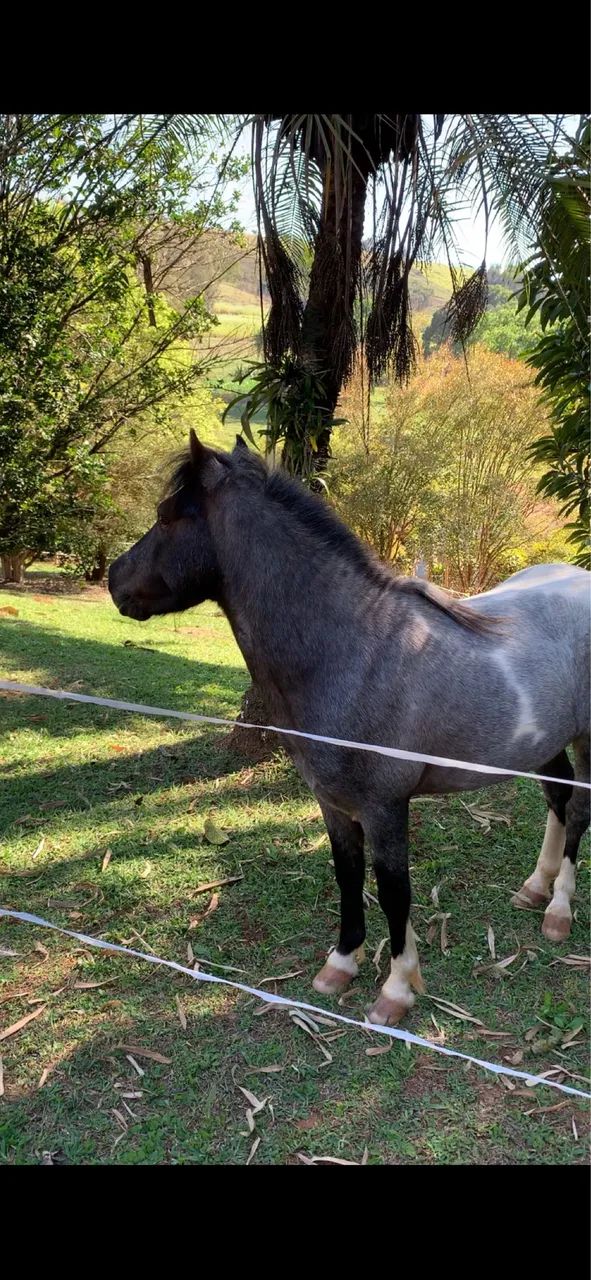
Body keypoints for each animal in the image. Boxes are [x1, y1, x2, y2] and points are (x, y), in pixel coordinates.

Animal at [108, 432, 590, 1026]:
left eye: (166, 516)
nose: (113, 578)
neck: (357, 650)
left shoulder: (386, 807)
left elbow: (393, 890)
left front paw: (397, 990)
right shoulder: (334, 803)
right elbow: (348, 875)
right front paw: (340, 965)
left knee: (578, 810)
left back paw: (559, 910)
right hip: (543, 743)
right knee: (558, 800)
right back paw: (534, 888)